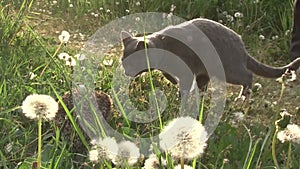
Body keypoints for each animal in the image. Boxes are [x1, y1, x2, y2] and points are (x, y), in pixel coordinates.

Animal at [120, 18, 300, 97]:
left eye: (132, 63)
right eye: (123, 62)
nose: (126, 72)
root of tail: (241, 43)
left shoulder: (186, 71)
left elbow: (183, 86)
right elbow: (169, 76)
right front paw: (172, 81)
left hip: (227, 69)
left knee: (248, 76)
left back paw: (242, 97)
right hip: (206, 71)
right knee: (203, 83)